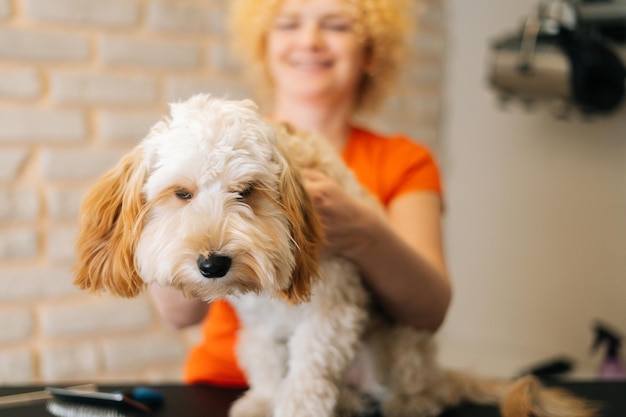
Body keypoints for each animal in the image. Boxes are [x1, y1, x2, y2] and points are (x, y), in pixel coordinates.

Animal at [74, 94, 596, 416]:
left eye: (247, 191)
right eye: (182, 194)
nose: (213, 263)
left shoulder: (334, 309)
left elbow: (308, 373)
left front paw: (293, 408)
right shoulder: (258, 330)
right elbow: (268, 366)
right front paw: (264, 400)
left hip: (398, 342)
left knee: (414, 384)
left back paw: (411, 401)